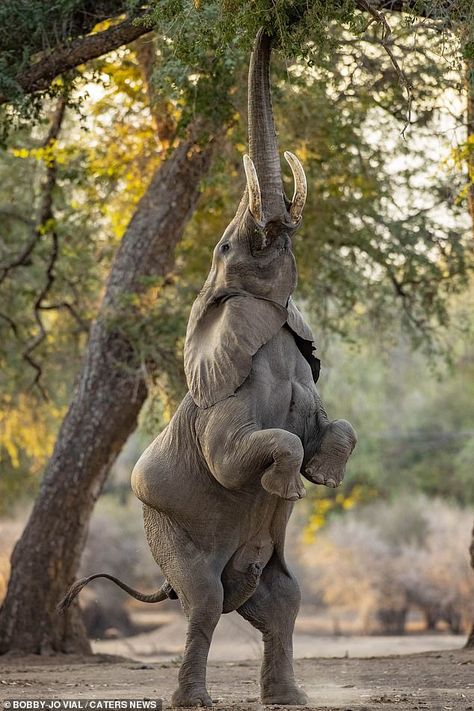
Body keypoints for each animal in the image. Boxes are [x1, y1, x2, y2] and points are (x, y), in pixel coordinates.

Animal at [58, 26, 356, 708]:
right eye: (223, 247)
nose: (268, 31)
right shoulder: (221, 402)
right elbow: (233, 459)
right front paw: (291, 485)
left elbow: (337, 427)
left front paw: (322, 477)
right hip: (167, 528)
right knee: (203, 600)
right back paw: (195, 700)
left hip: (253, 564)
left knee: (281, 601)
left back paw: (288, 698)